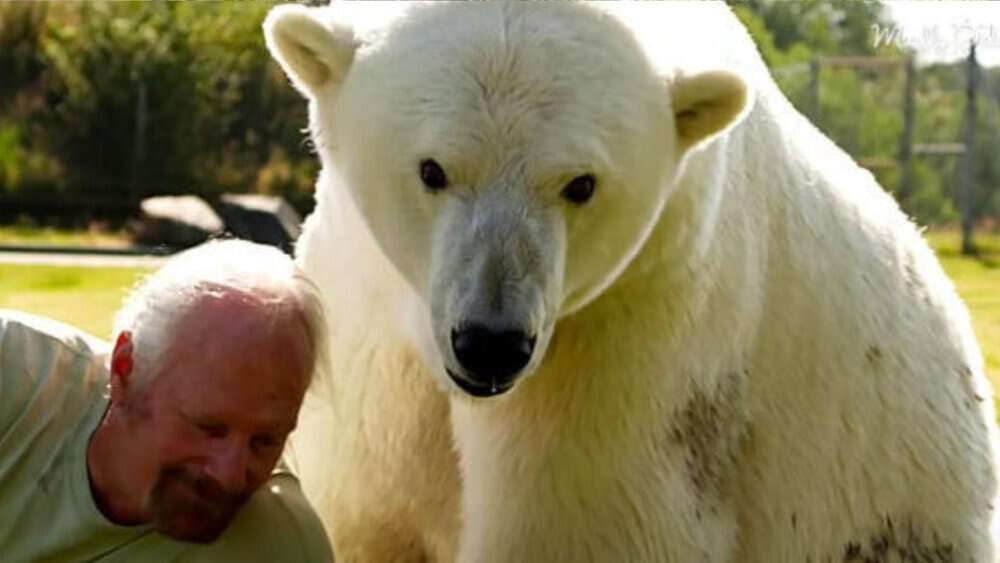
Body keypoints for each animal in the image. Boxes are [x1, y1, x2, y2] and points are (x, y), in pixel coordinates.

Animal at [265, 2, 1000, 561]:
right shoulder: (365, 328)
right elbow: (365, 509)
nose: (491, 342)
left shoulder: (636, 338)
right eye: (431, 169)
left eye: (581, 184)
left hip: (895, 516)